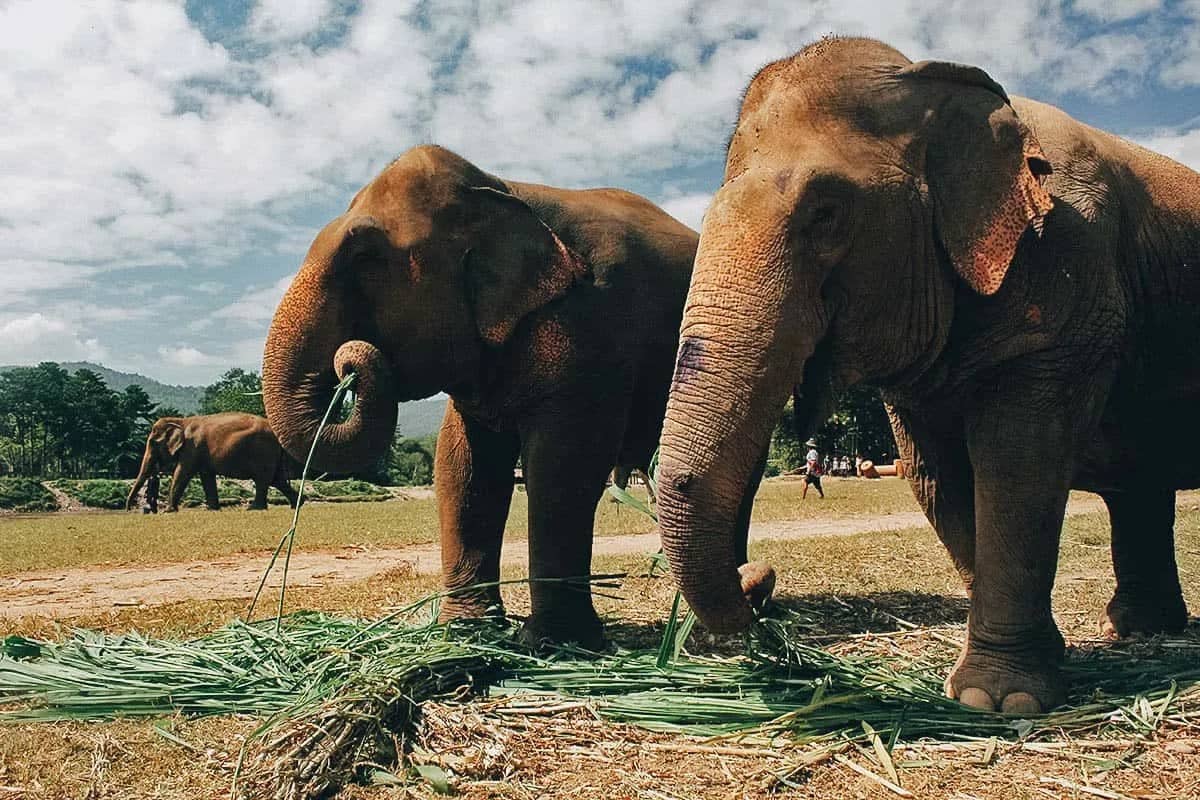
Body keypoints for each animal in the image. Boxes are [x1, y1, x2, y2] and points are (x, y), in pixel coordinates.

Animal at [125, 412, 300, 513]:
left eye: (152, 443)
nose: (128, 508)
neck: (181, 421)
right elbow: (206, 477)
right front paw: (212, 509)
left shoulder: (192, 448)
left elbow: (182, 473)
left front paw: (168, 511)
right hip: (271, 454)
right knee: (276, 479)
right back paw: (297, 504)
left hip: (263, 452)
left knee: (263, 480)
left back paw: (253, 509)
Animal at [261, 144, 762, 648]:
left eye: (365, 257)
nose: (348, 364)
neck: (503, 189)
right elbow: (463, 465)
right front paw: (466, 632)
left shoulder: (596, 326)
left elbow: (564, 462)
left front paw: (552, 643)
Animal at [654, 37, 1200, 714]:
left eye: (826, 213)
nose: (759, 578)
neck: (939, 87)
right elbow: (935, 475)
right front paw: (1036, 665)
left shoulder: (1069, 278)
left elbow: (1017, 464)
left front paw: (997, 701)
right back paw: (1138, 630)